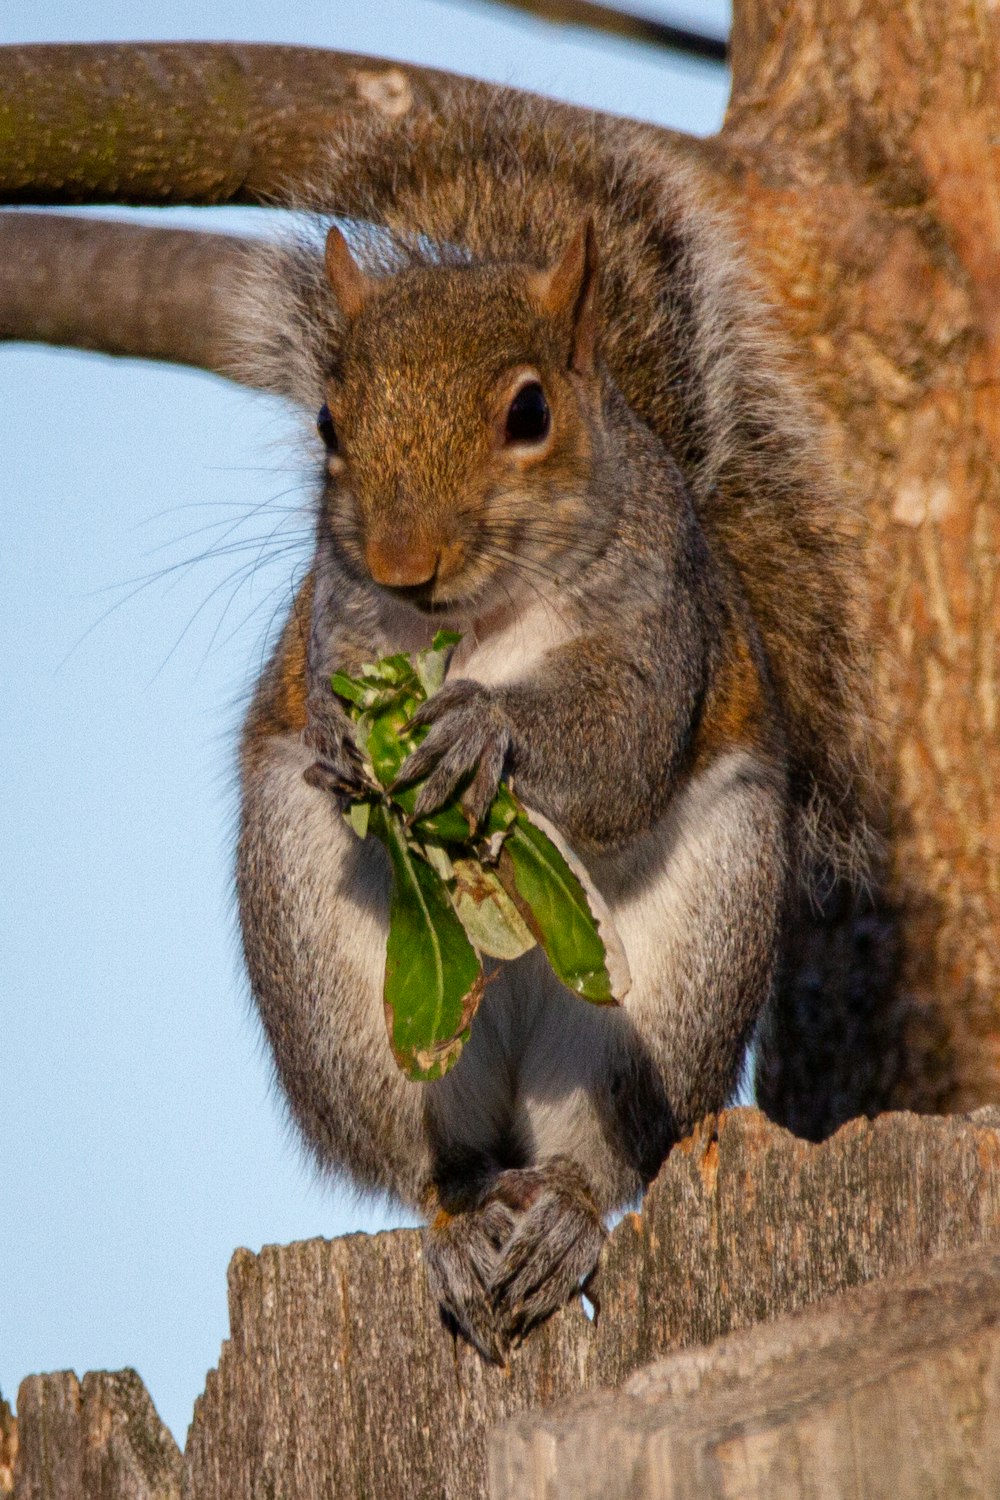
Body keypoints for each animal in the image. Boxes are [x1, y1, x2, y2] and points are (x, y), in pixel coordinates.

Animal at [230, 90, 869, 1362]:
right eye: (328, 421)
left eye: (528, 411)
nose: (402, 561)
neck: (477, 623)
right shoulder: (336, 626)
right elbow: (331, 710)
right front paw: (359, 753)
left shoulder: (666, 626)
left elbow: (621, 748)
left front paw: (481, 736)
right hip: (351, 1004)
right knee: (440, 1158)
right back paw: (469, 1223)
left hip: (669, 985)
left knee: (594, 1149)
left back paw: (560, 1215)